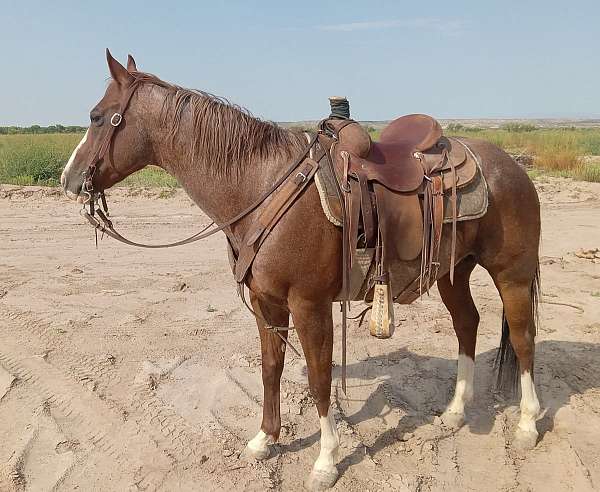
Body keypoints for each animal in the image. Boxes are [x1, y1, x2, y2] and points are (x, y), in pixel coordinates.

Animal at [62, 51, 544, 492]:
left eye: (98, 117)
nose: (68, 180)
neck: (261, 184)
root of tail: (512, 164)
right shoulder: (267, 302)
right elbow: (271, 368)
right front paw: (264, 439)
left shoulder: (309, 303)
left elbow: (318, 378)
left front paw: (326, 461)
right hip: (452, 272)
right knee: (467, 324)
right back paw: (456, 412)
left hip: (512, 273)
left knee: (523, 338)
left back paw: (527, 424)